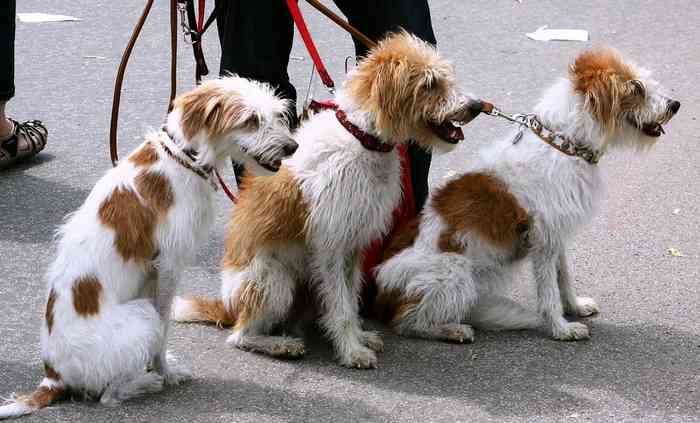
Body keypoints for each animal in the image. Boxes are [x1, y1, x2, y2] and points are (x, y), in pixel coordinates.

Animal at [0, 77, 296, 420]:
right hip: (142, 315)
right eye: (250, 120)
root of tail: (53, 376)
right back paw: (147, 381)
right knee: (108, 396)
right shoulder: (167, 267)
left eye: (277, 115)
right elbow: (164, 326)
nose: (292, 147)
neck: (184, 157)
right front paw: (164, 371)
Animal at [172, 33, 484, 370]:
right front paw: (352, 351)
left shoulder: (355, 246)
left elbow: (349, 299)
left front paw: (360, 338)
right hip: (274, 279)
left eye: (446, 77)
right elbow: (341, 306)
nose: (477, 106)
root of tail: (228, 305)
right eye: (429, 83)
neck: (362, 139)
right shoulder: (331, 247)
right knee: (239, 336)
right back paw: (281, 345)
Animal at [374, 47, 680, 344]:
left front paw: (575, 307)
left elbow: (563, 276)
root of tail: (380, 294)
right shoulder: (543, 241)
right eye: (636, 87)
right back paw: (451, 330)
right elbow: (548, 290)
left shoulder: (557, 234)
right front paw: (561, 328)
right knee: (407, 322)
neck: (564, 144)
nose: (674, 105)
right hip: (454, 270)